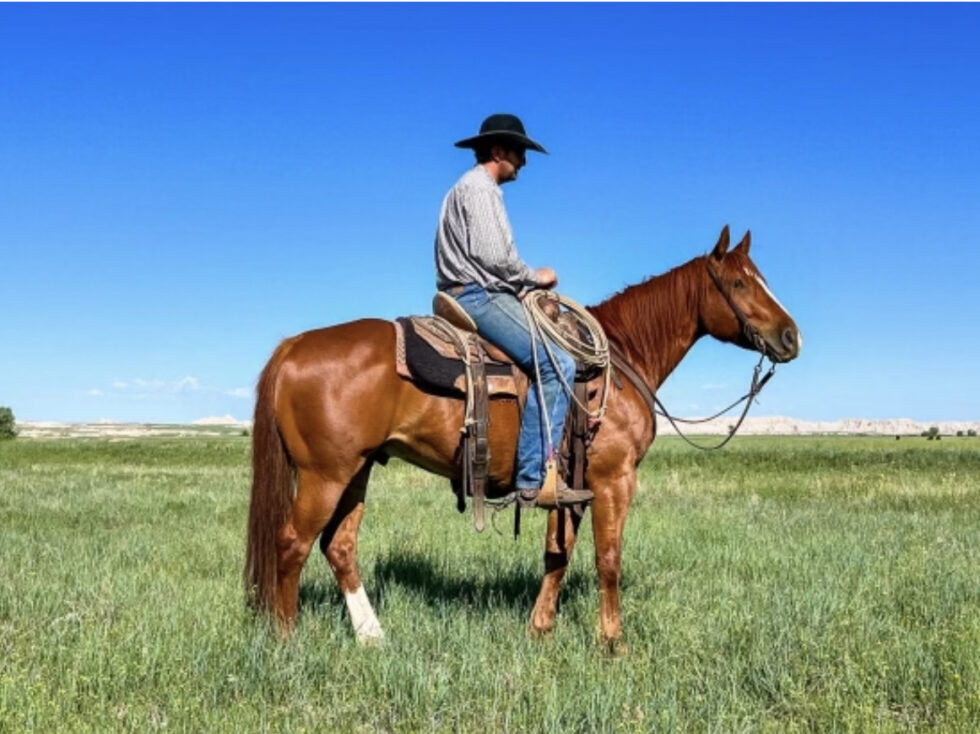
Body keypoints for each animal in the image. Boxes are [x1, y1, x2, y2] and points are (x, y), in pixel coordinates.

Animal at [244, 225, 802, 646]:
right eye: (740, 284)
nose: (791, 336)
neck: (619, 361)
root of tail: (294, 345)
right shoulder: (613, 479)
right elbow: (608, 559)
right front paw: (613, 643)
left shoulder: (572, 484)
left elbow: (558, 554)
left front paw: (540, 629)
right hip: (324, 474)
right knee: (292, 543)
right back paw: (287, 640)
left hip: (356, 468)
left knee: (338, 546)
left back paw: (372, 636)